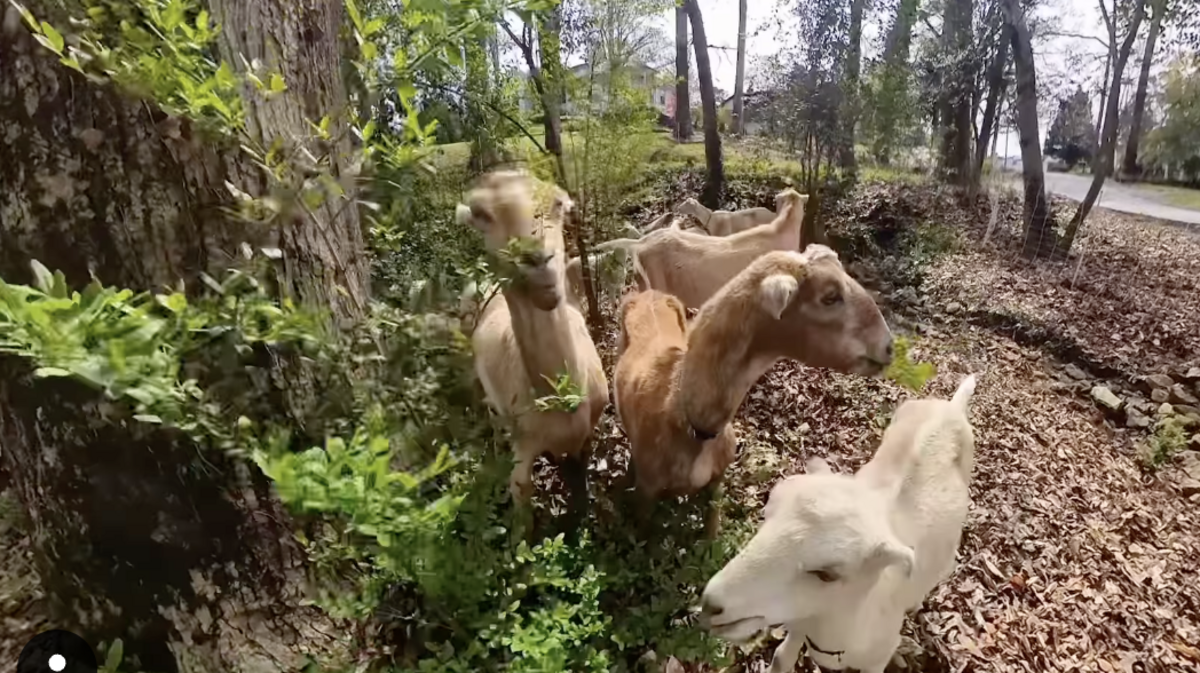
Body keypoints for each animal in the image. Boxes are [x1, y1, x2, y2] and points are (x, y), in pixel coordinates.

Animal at [455, 170, 608, 517]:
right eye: (481, 214)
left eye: (558, 204)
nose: (538, 260)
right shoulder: (524, 451)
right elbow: (521, 499)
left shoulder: (588, 432)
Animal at [698, 374, 979, 673]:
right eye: (766, 516)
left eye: (827, 574)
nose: (712, 604)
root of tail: (952, 407)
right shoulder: (799, 622)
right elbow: (781, 659)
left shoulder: (878, 657)